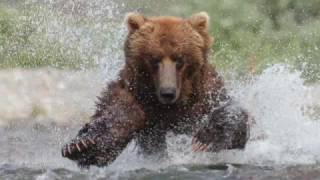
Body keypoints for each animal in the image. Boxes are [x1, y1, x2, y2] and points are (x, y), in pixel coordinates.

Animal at [60, 12, 250, 167]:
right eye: (154, 59)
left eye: (179, 59)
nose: (168, 92)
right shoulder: (135, 96)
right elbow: (114, 119)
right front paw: (79, 145)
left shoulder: (205, 94)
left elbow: (232, 115)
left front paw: (205, 139)